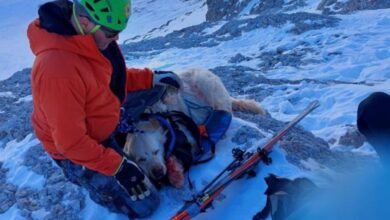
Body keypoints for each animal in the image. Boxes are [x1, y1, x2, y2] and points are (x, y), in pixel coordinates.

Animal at [125, 67, 266, 187]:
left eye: (156, 151)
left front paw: (175, 171)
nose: (158, 172)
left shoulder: (186, 131)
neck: (156, 115)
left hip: (206, 85)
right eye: (141, 159)